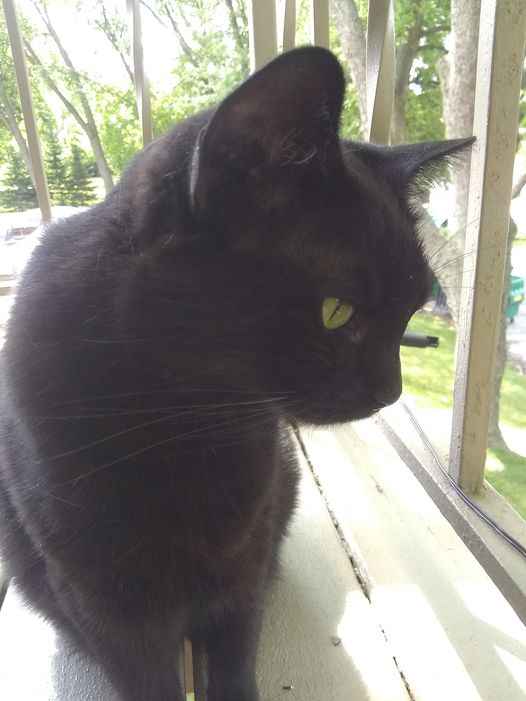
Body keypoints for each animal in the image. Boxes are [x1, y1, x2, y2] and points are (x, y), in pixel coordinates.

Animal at [0, 46, 471, 701]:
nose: (392, 391)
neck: (186, 423)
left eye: (409, 311)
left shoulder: (241, 565)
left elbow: (235, 655)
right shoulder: (104, 597)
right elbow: (142, 673)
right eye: (337, 312)